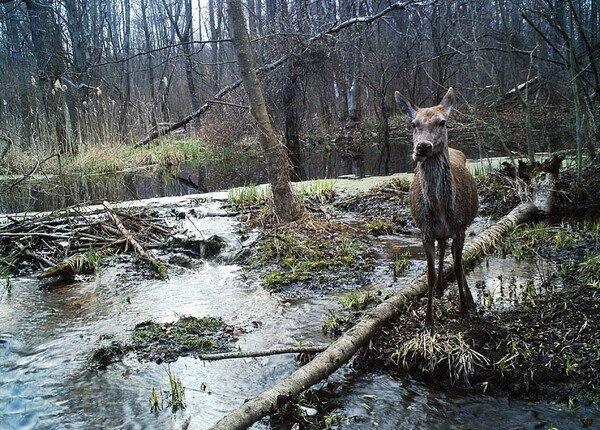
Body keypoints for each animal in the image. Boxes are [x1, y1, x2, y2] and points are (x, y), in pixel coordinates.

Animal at [394, 87, 478, 330]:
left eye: (443, 122)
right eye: (413, 124)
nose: (423, 147)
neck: (441, 211)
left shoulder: (459, 228)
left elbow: (458, 267)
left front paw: (464, 311)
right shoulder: (426, 231)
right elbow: (429, 274)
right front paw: (428, 322)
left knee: (454, 256)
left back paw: (470, 301)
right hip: (439, 234)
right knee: (443, 249)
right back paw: (441, 289)